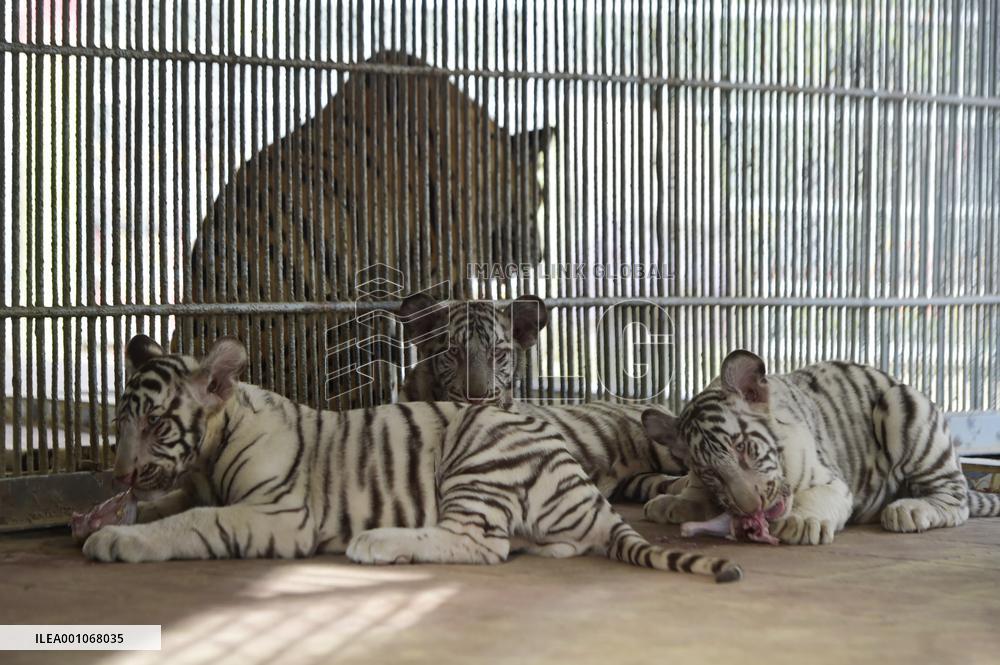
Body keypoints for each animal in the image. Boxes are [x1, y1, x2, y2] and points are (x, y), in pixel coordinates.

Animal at [81, 334, 743, 583]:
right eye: (119, 423)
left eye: (157, 424)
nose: (117, 474)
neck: (211, 454)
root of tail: (581, 485)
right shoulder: (193, 485)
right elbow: (172, 503)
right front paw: (106, 516)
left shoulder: (278, 515)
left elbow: (194, 522)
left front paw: (117, 539)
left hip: (478, 461)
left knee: (481, 544)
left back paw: (379, 542)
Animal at [640, 350, 1000, 545]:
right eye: (710, 472)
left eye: (742, 447)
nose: (752, 508)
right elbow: (696, 491)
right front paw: (674, 502)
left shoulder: (830, 480)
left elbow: (814, 496)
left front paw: (801, 522)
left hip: (902, 404)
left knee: (956, 500)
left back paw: (909, 510)